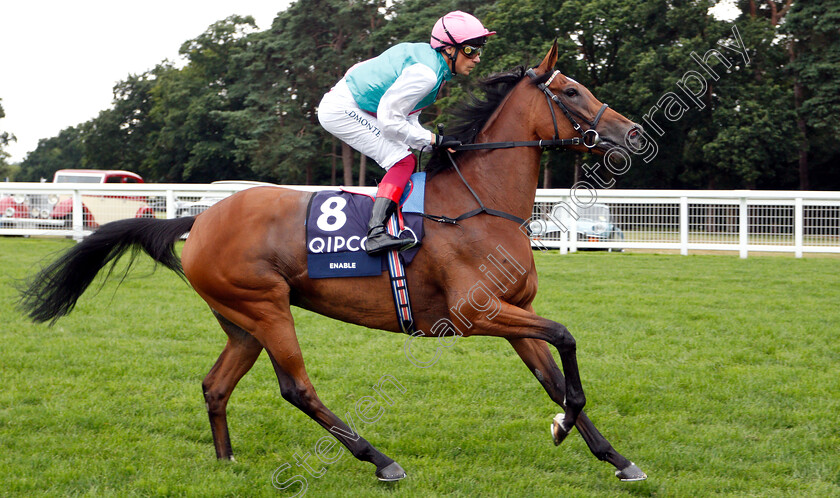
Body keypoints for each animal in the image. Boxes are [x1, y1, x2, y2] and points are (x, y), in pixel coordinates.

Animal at [19, 42, 648, 482]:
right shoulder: (477, 314)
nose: (633, 132)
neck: (479, 204)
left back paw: (226, 461)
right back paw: (379, 459)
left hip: (241, 322)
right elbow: (566, 341)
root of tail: (201, 219)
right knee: (296, 387)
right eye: (572, 92)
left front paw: (612, 455)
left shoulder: (512, 313)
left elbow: (553, 378)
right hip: (267, 308)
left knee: (215, 386)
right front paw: (566, 427)